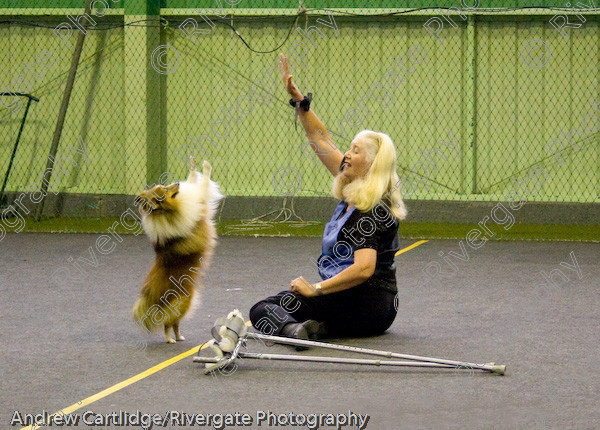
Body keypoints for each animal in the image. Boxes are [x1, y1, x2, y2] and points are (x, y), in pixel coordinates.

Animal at [132, 158, 224, 342]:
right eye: (166, 190)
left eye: (164, 185)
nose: (176, 183)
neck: (168, 212)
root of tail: (150, 292)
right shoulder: (200, 202)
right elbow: (204, 184)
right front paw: (206, 166)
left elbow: (193, 179)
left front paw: (193, 165)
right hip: (183, 303)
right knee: (167, 322)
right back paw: (170, 339)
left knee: (174, 323)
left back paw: (179, 337)